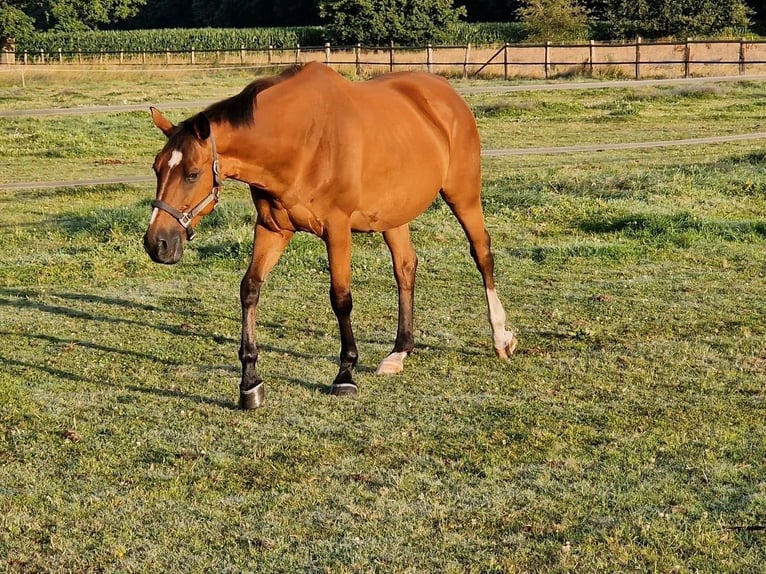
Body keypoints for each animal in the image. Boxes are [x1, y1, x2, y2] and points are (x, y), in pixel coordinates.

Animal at [144, 62, 517, 409]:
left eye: (192, 174)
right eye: (157, 167)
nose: (157, 243)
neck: (301, 142)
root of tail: (446, 94)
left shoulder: (337, 229)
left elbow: (341, 298)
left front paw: (345, 374)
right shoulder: (272, 228)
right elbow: (249, 289)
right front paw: (250, 383)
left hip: (463, 194)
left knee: (482, 253)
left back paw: (501, 338)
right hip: (393, 213)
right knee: (405, 267)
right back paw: (399, 351)